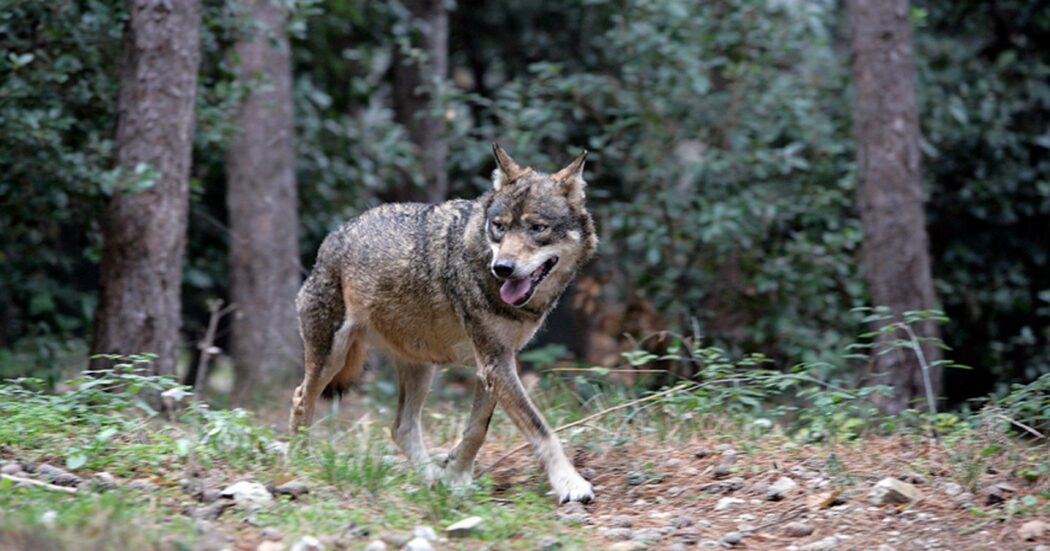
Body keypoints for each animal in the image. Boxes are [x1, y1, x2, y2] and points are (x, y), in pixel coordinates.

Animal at [289, 145, 598, 503]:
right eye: (499, 227)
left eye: (537, 228)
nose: (502, 268)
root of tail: (334, 236)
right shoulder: (495, 363)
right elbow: (540, 427)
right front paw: (570, 483)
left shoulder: (495, 364)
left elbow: (477, 429)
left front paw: (455, 476)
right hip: (332, 358)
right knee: (301, 398)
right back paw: (300, 461)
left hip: (421, 368)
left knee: (401, 428)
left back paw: (430, 479)